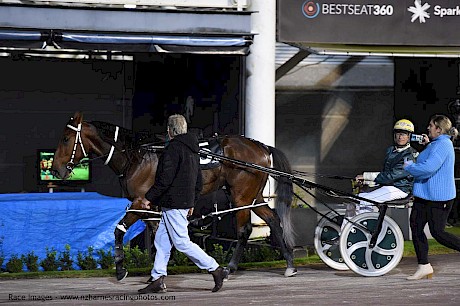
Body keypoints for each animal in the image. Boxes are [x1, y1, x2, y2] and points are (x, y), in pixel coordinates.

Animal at [50, 112, 294, 280]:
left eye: (65, 139)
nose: (55, 169)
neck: (138, 156)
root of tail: (262, 147)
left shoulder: (141, 202)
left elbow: (119, 230)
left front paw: (120, 269)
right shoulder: (149, 208)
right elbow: (158, 236)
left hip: (240, 196)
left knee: (244, 230)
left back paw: (230, 267)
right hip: (254, 196)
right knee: (273, 219)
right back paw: (290, 264)